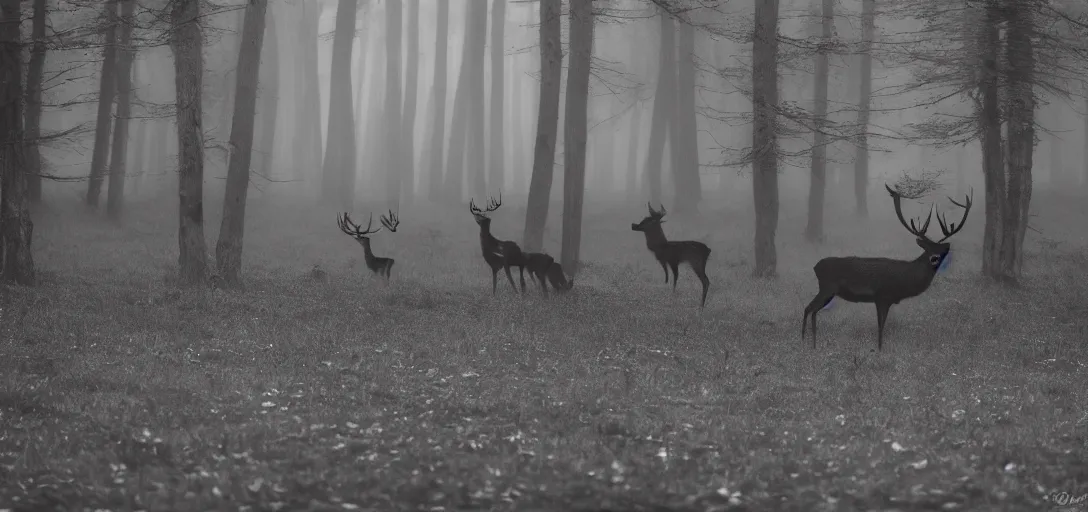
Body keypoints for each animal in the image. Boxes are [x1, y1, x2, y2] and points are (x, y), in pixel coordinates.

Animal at [800, 185, 979, 352]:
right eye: (929, 250)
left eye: (940, 250)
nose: (935, 258)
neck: (905, 279)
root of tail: (815, 267)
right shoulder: (882, 296)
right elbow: (881, 326)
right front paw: (879, 350)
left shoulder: (887, 299)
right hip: (827, 288)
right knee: (809, 308)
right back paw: (804, 340)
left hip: (827, 290)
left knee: (811, 310)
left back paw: (811, 343)